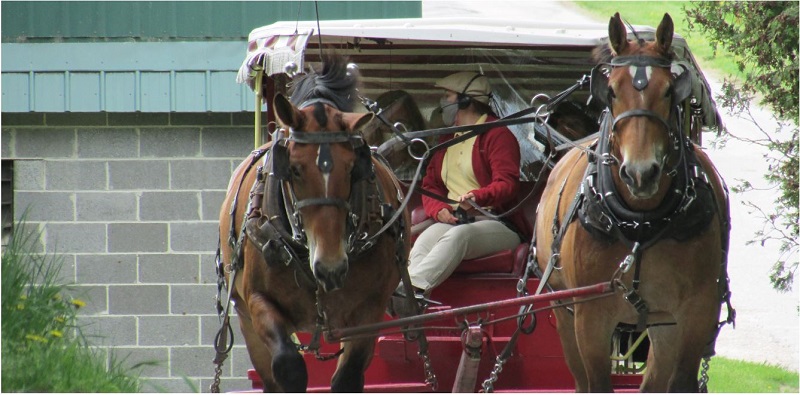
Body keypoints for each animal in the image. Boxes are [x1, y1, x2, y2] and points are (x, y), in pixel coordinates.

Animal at [219, 55, 410, 392]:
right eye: (293, 169)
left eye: (352, 168)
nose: (330, 267)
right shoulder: (258, 300)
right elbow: (289, 366)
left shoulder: (370, 310)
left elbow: (348, 377)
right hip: (244, 316)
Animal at [536, 13, 732, 392]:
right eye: (611, 91)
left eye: (669, 90)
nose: (641, 174)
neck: (641, 223)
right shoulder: (591, 315)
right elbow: (596, 383)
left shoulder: (695, 313)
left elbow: (680, 381)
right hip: (564, 310)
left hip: (662, 324)